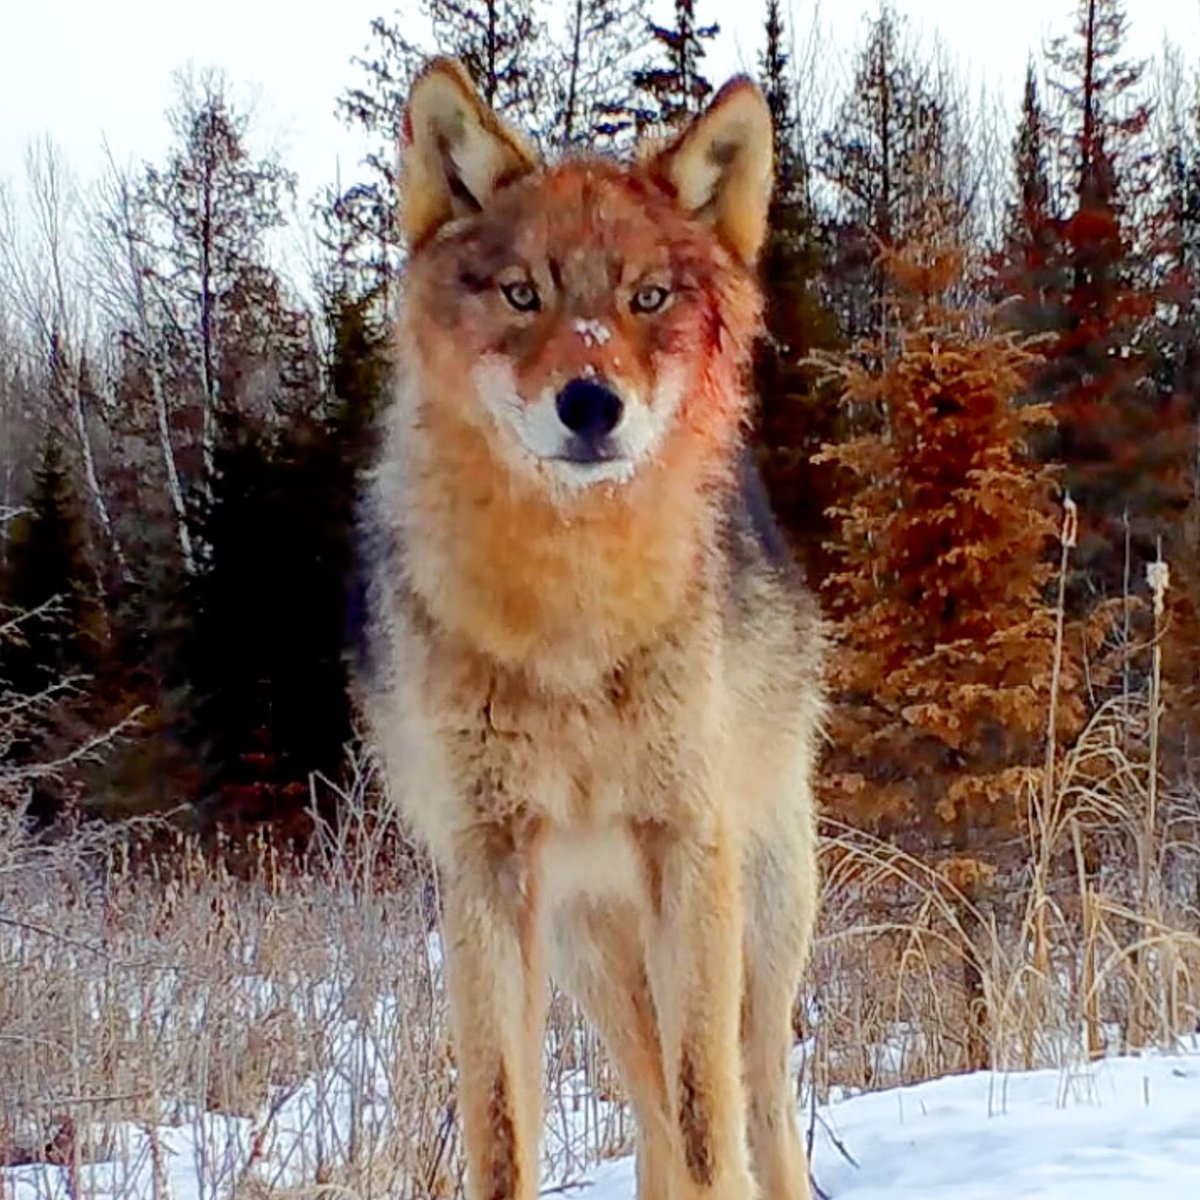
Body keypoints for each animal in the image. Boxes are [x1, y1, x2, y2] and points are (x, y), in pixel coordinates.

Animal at [355, 56, 825, 1200]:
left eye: (645, 298)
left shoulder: (686, 843)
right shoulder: (487, 869)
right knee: (650, 1105)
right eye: (523, 293)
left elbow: (711, 1128)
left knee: (757, 1094)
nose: (590, 402)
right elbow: (501, 1130)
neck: (571, 619)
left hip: (758, 913)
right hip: (588, 952)